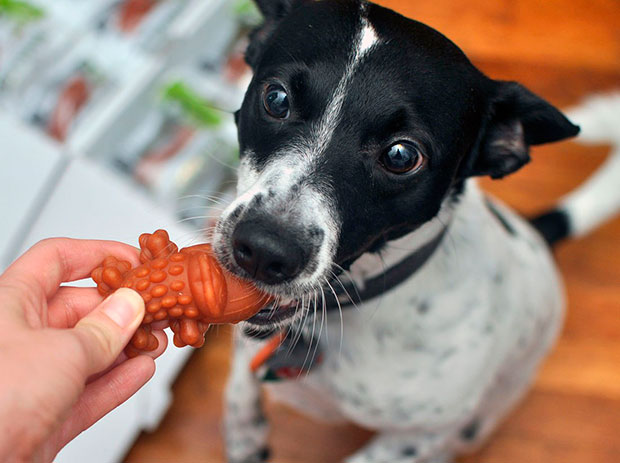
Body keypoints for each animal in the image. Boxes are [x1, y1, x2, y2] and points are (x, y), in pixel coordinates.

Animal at [209, 1, 620, 462]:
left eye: (402, 155)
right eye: (276, 98)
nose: (263, 251)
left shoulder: (417, 437)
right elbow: (238, 391)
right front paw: (245, 436)